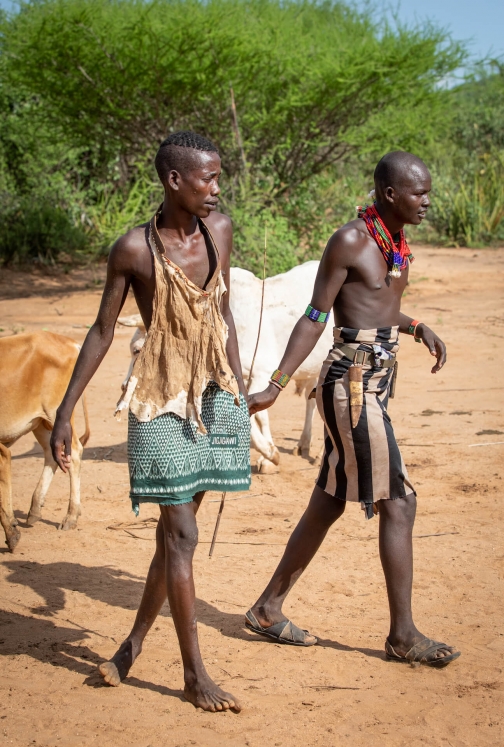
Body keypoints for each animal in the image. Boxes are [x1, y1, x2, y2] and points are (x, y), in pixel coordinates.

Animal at [0, 332, 89, 548]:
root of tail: (70, 343)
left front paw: (11, 533)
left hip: (56, 413)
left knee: (73, 452)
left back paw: (71, 515)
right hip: (41, 422)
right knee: (52, 453)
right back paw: (35, 509)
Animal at [116, 262, 332, 474]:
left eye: (137, 350)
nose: (124, 385)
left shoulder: (261, 373)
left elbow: (258, 414)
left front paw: (270, 454)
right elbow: (259, 417)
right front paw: (269, 454)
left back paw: (319, 454)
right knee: (311, 400)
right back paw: (303, 444)